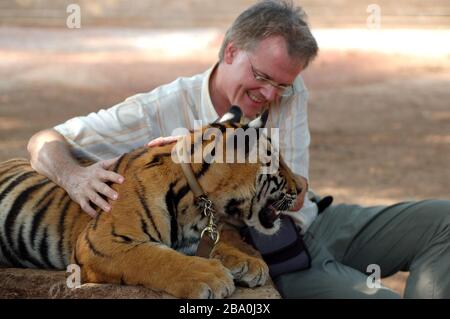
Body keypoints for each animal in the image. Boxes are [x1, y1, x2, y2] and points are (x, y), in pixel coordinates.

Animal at [0, 107, 302, 300]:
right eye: (278, 162)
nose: (300, 188)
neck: (198, 201)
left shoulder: (195, 238)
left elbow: (218, 244)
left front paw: (248, 263)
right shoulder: (100, 242)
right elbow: (155, 258)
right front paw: (209, 276)